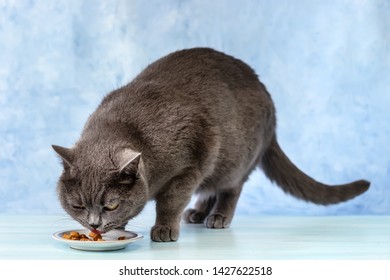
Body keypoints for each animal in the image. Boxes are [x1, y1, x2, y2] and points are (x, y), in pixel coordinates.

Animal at [53, 47, 370, 242]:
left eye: (110, 205)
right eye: (78, 205)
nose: (94, 224)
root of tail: (270, 103)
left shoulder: (192, 163)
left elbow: (171, 201)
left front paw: (164, 227)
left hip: (233, 158)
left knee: (231, 188)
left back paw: (218, 217)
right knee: (209, 188)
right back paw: (198, 213)